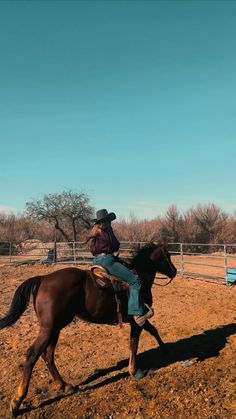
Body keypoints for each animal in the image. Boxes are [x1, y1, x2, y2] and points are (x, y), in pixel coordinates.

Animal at [0, 243, 177, 416]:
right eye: (167, 256)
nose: (174, 271)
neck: (141, 277)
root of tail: (43, 279)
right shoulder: (137, 320)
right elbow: (134, 344)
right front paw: (134, 370)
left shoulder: (140, 320)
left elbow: (153, 331)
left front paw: (166, 350)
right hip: (49, 329)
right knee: (32, 354)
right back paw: (17, 401)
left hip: (55, 328)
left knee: (47, 355)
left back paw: (65, 386)